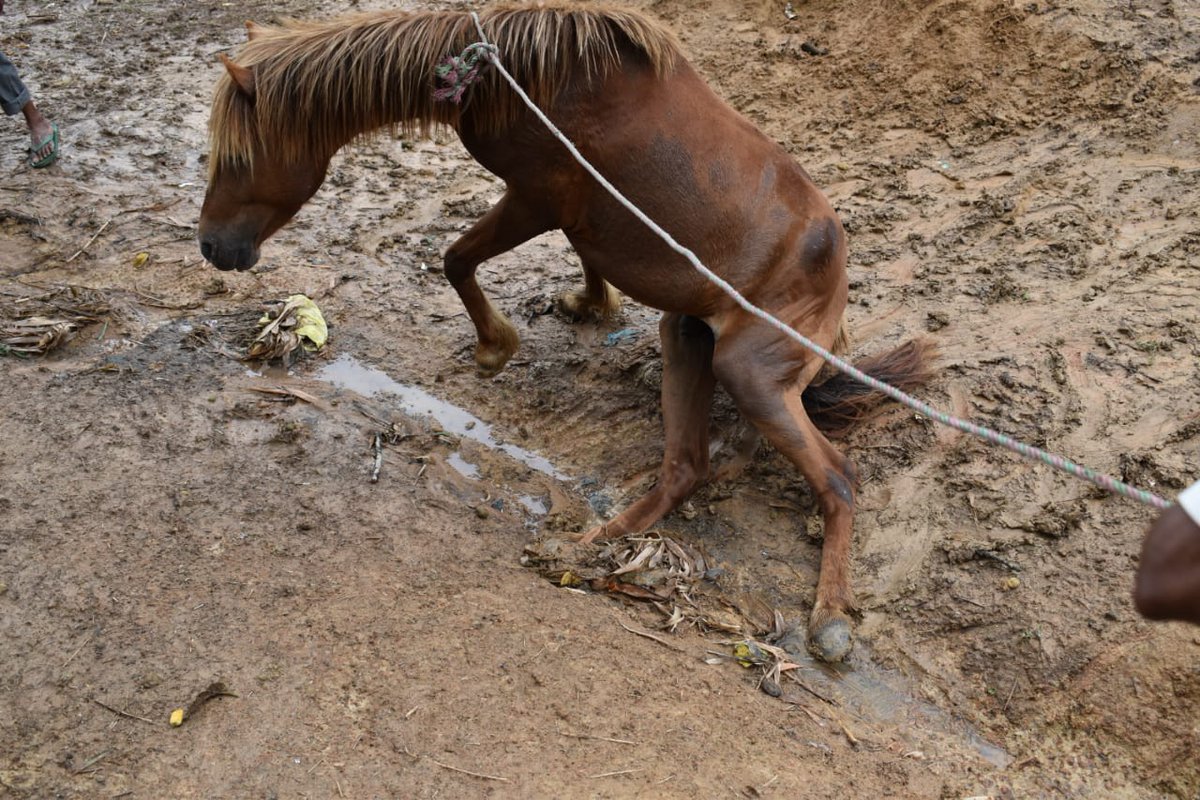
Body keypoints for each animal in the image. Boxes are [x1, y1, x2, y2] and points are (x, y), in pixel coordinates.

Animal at [197, 3, 934, 662]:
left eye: (234, 158)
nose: (210, 247)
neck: (506, 76)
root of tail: (834, 272)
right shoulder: (579, 215)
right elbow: (583, 257)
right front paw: (587, 304)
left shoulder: (534, 199)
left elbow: (456, 259)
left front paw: (495, 347)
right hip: (686, 337)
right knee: (685, 469)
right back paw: (590, 544)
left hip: (750, 373)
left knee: (838, 479)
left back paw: (829, 618)